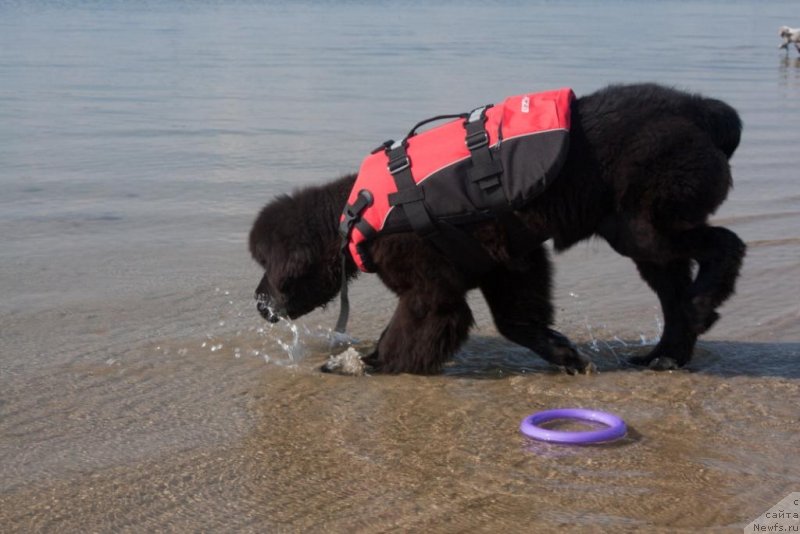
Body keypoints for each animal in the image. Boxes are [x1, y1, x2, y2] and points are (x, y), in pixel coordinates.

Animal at [250, 85, 744, 376]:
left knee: (725, 246)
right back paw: (665, 354)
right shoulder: (511, 263)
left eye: (268, 270)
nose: (258, 302)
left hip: (643, 225)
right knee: (674, 293)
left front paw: (372, 364)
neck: (357, 210)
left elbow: (410, 328)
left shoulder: (430, 288)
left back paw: (701, 308)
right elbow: (517, 321)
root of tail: (702, 109)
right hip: (642, 236)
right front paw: (564, 355)